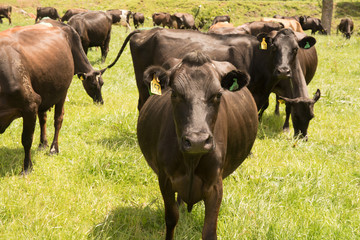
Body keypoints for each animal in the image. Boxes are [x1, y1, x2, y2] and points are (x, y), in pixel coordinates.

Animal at [136, 51, 258, 239]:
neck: (191, 161)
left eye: (218, 94)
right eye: (174, 93)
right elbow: (171, 218)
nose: (197, 141)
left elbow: (209, 231)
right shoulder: (165, 180)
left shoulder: (215, 186)